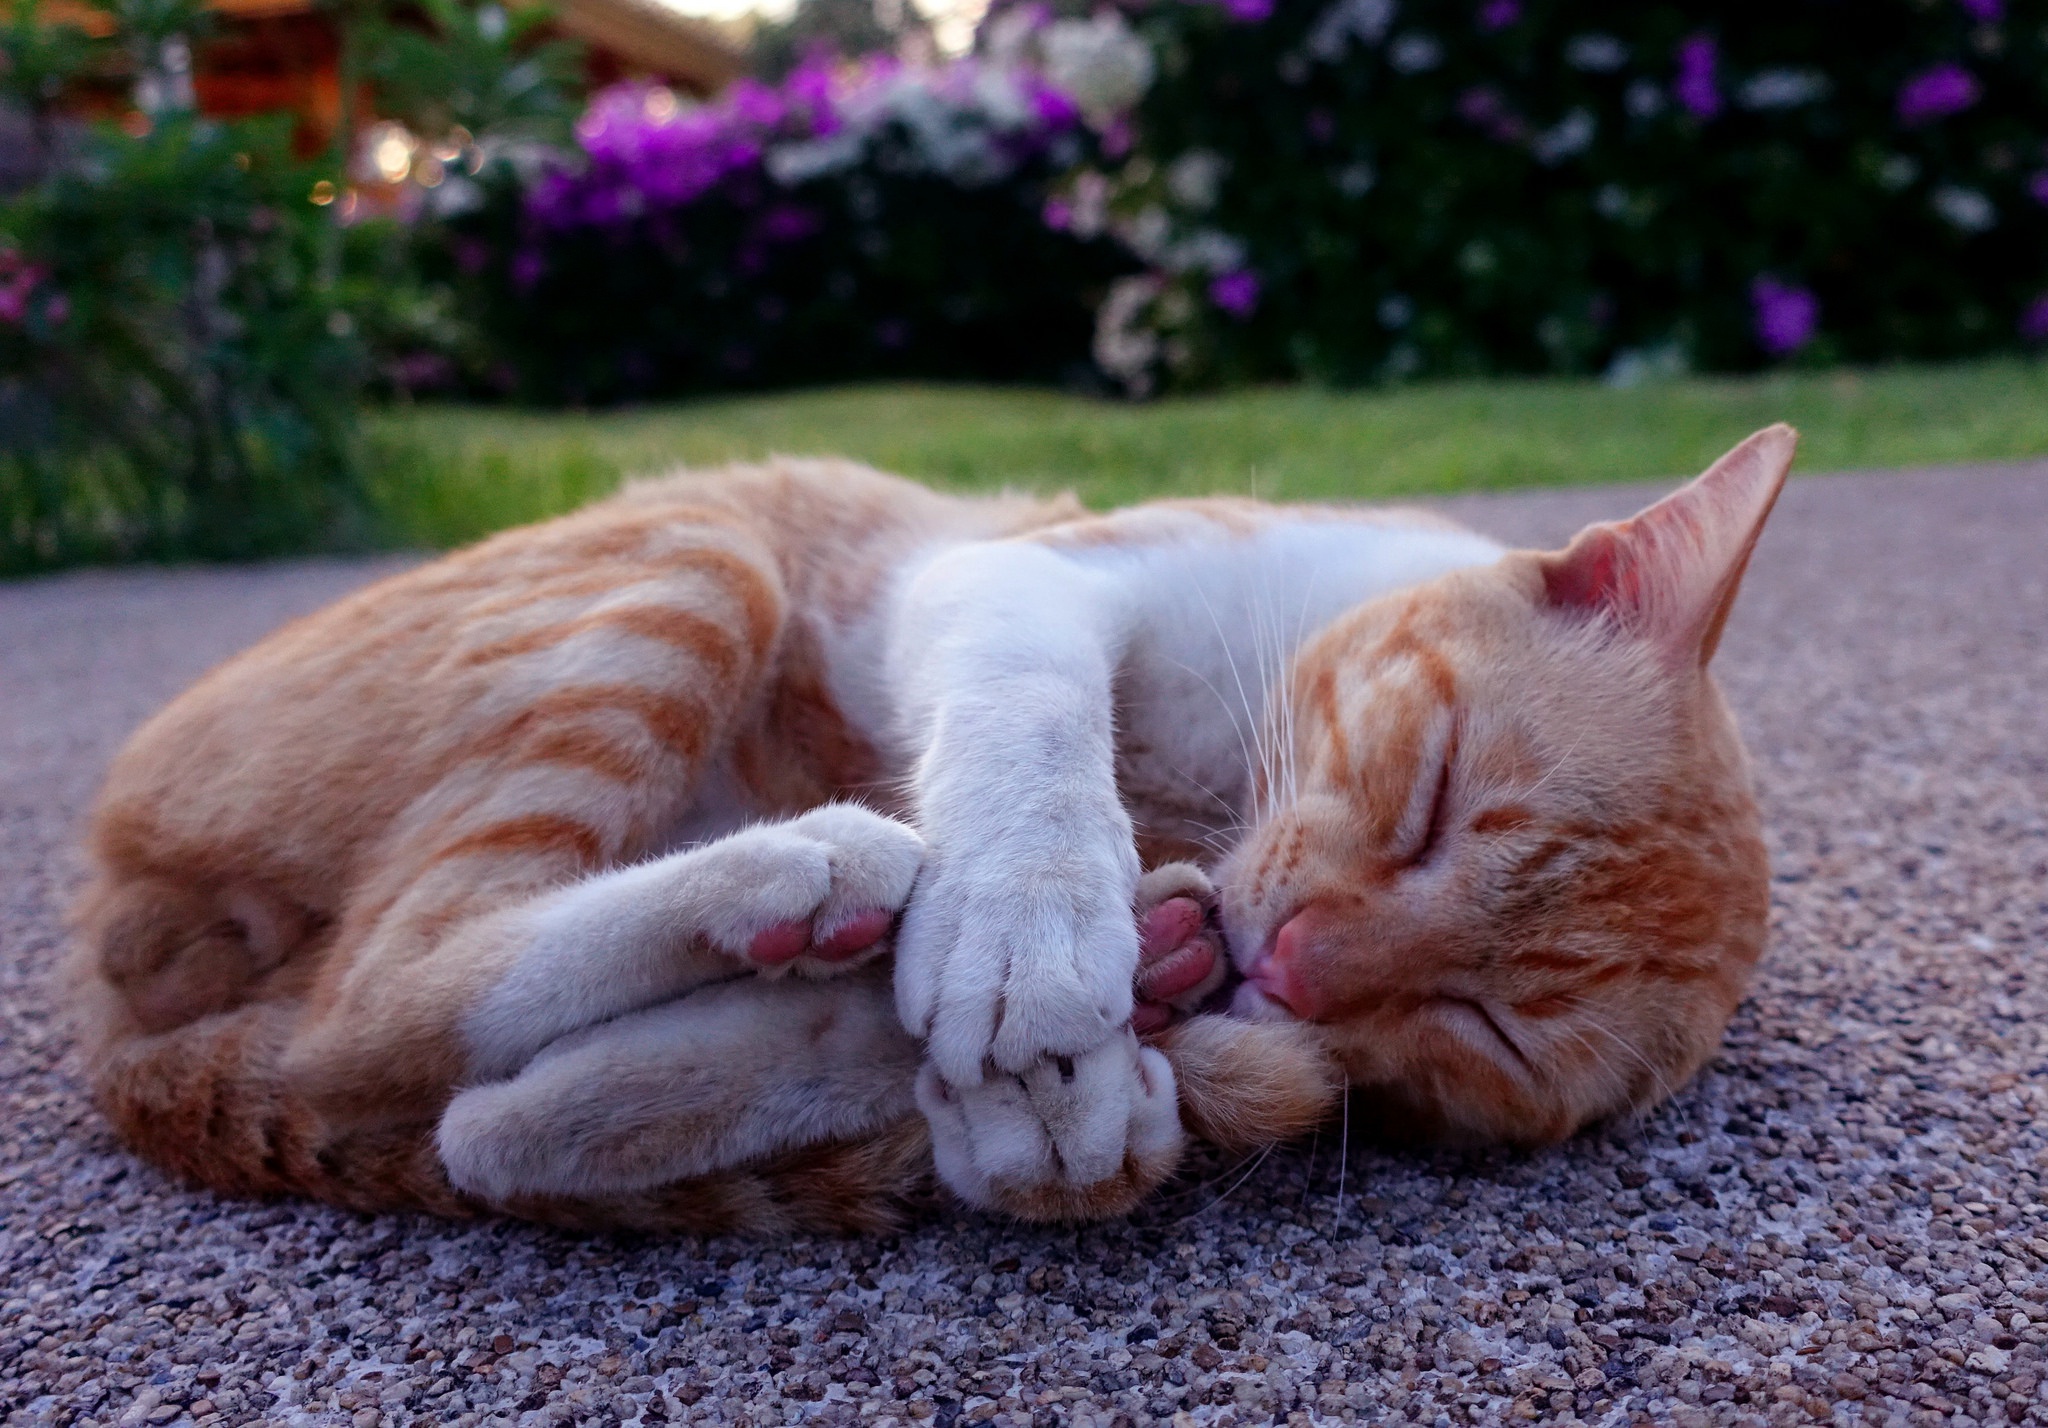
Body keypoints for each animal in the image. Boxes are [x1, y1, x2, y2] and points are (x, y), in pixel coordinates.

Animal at [64, 420, 1794, 1229]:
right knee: (374, 1010)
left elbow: (544, 1119)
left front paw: (1067, 1098)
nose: (1299, 964)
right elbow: (1032, 730)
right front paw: (1034, 934)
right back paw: (801, 866)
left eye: (1480, 1033)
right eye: (1435, 801)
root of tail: (103, 968)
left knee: (449, 1098)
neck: (1207, 793)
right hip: (692, 564)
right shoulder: (1021, 578)